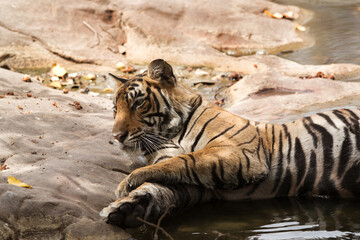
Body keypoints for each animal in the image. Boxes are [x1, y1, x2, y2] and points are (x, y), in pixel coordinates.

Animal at [100, 59, 360, 228]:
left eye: (138, 103)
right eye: (115, 108)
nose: (117, 136)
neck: (170, 133)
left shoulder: (239, 153)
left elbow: (184, 159)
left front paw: (127, 182)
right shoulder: (198, 185)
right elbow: (160, 186)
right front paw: (127, 208)